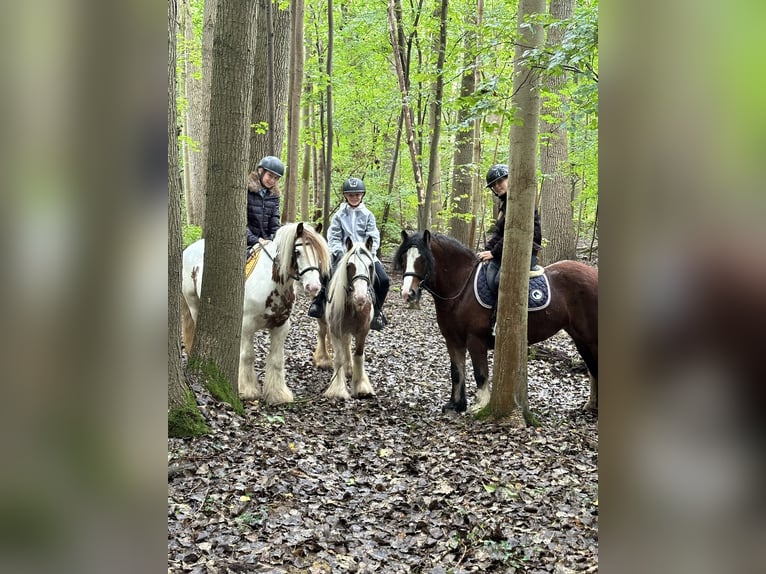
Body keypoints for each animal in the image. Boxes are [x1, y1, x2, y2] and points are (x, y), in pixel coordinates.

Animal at [185, 223, 332, 408]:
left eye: (318, 253)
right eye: (297, 252)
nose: (313, 287)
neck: (273, 284)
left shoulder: (281, 327)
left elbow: (276, 359)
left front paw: (278, 394)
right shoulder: (247, 325)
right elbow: (248, 356)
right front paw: (248, 391)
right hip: (193, 304)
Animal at [396, 232, 600, 416]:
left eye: (423, 259)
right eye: (405, 258)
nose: (408, 293)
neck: (461, 290)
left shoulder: (475, 340)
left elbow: (480, 373)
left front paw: (480, 405)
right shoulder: (452, 340)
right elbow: (456, 372)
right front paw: (455, 405)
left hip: (590, 337)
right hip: (580, 337)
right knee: (592, 367)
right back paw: (591, 405)